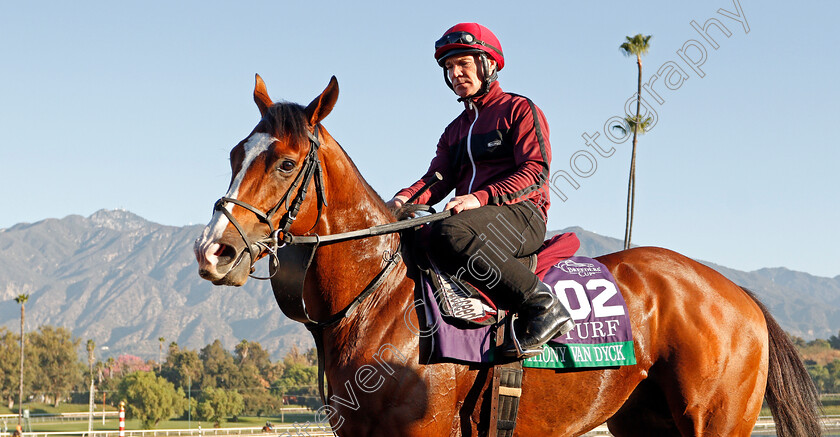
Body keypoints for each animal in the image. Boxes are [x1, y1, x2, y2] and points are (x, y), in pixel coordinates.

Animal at [195, 76, 820, 434]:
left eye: (284, 162)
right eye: (234, 154)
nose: (213, 251)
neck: (378, 301)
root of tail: (737, 294)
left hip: (718, 420)